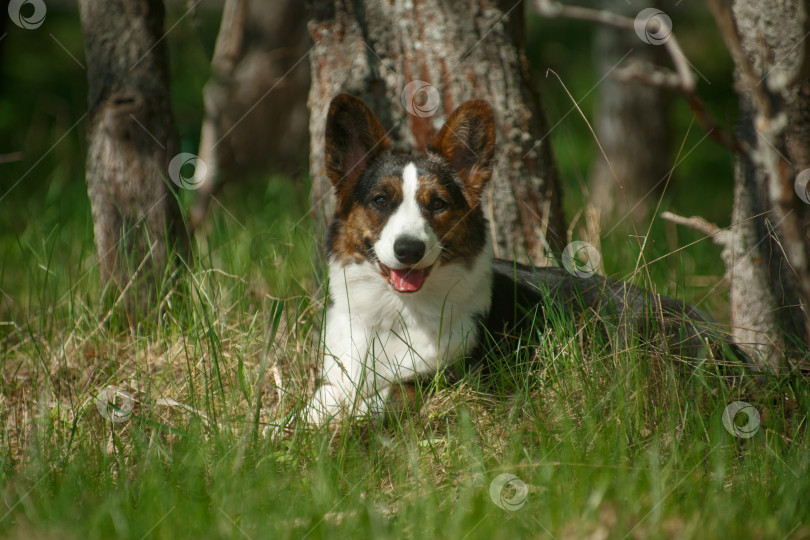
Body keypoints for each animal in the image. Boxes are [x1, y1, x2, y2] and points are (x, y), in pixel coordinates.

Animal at [308, 93, 744, 424]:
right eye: (381, 200)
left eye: (438, 204)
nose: (408, 249)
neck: (396, 313)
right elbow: (321, 400)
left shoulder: (453, 380)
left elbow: (387, 394)